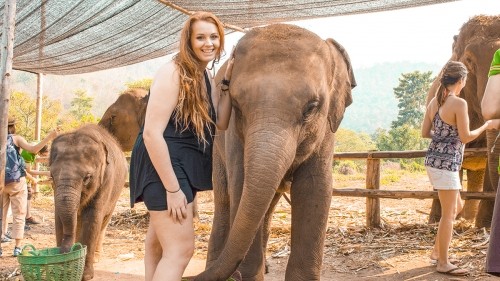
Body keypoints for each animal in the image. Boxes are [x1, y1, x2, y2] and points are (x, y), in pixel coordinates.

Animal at [49, 123, 128, 278]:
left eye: (87, 177)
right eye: (51, 176)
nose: (65, 254)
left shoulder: (106, 180)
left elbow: (92, 218)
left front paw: (85, 276)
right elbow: (58, 216)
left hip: (116, 195)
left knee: (103, 222)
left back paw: (96, 257)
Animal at [194, 24, 356, 280]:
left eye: (311, 108)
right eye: (236, 105)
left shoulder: (327, 131)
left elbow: (315, 188)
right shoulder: (232, 135)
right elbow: (241, 184)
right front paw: (247, 274)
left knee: (267, 204)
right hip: (216, 151)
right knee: (225, 198)